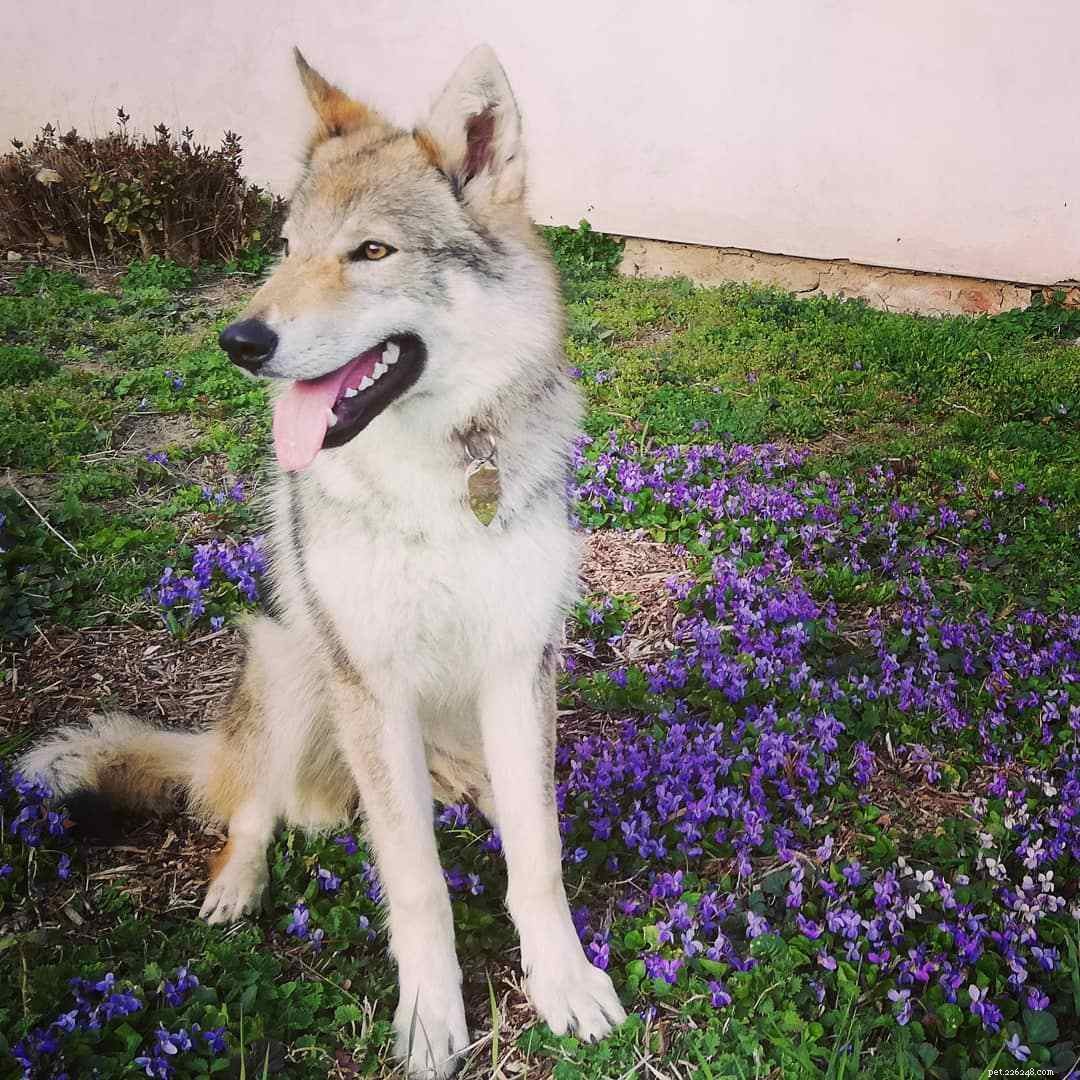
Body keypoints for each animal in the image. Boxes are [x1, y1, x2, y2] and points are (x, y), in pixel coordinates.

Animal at [21, 45, 626, 1078]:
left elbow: (538, 861)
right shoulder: (367, 680)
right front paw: (432, 1018)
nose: (239, 341)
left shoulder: (518, 667)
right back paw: (237, 885)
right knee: (249, 809)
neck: (438, 485)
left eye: (371, 253)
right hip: (294, 662)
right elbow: (416, 881)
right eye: (287, 245)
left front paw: (564, 984)